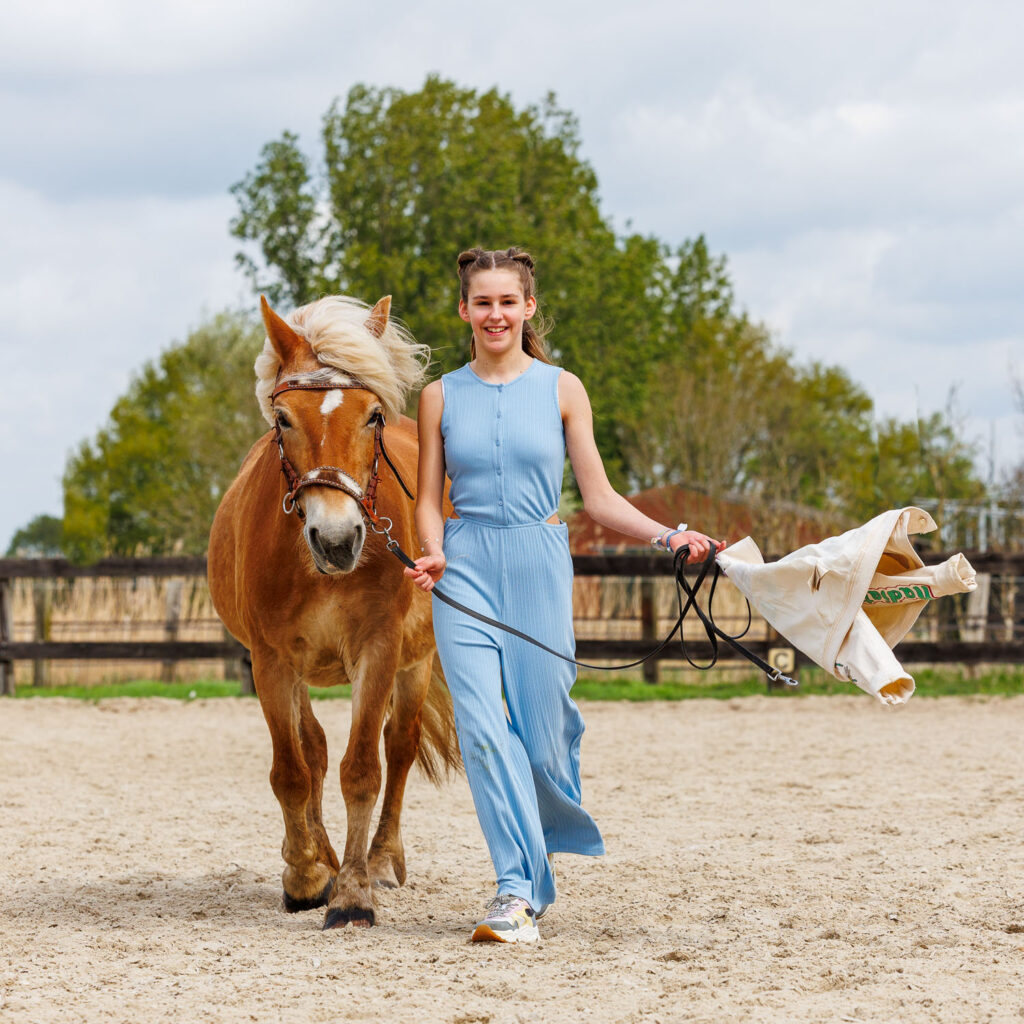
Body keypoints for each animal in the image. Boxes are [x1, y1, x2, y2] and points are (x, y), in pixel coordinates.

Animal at [208, 294, 459, 930]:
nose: (338, 539)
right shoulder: (271, 661)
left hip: (415, 662)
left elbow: (363, 769)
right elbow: (293, 771)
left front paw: (352, 892)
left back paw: (380, 858)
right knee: (314, 751)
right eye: (283, 419)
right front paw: (305, 875)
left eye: (371, 416)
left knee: (399, 746)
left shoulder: (379, 650)